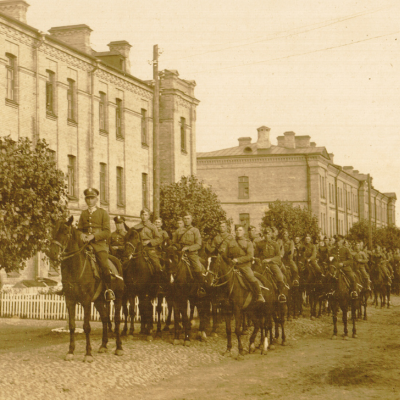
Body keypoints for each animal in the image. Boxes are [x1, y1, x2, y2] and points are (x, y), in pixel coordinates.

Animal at [49, 219, 125, 362]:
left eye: (66, 232)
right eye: (52, 231)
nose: (53, 254)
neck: (74, 268)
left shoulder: (86, 301)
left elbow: (86, 327)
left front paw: (88, 354)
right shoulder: (70, 301)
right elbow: (72, 325)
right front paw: (70, 351)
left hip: (118, 298)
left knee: (117, 320)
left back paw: (119, 348)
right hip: (99, 301)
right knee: (105, 318)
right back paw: (103, 345)